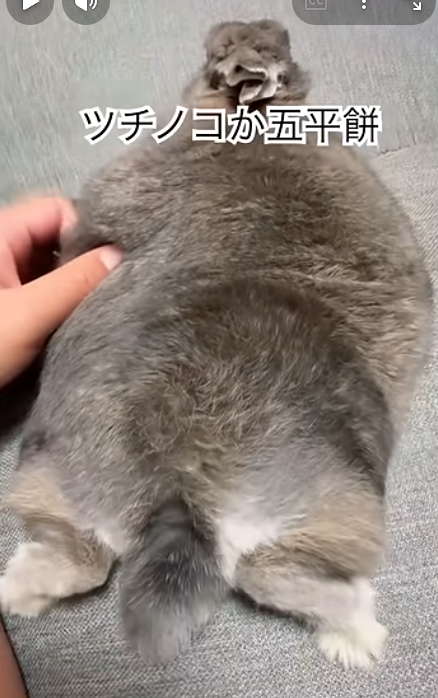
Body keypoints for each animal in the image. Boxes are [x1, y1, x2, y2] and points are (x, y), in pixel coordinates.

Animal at [0, 19, 432, 670]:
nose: (255, 27)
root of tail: (178, 488)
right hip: (340, 506)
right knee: (266, 571)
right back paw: (359, 637)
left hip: (56, 478)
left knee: (87, 558)